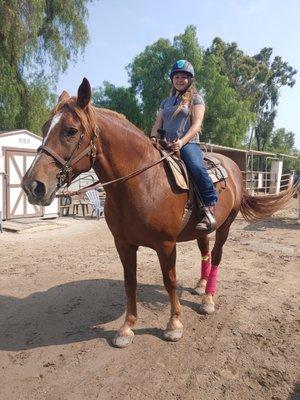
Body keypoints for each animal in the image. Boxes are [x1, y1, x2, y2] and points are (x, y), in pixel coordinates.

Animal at [21, 77, 296, 346]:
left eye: (71, 130)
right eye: (45, 128)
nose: (32, 186)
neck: (142, 182)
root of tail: (234, 167)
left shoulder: (165, 244)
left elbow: (170, 280)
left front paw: (173, 325)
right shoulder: (123, 244)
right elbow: (130, 282)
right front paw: (127, 327)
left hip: (225, 226)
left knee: (217, 257)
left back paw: (208, 299)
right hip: (203, 229)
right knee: (205, 253)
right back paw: (200, 285)